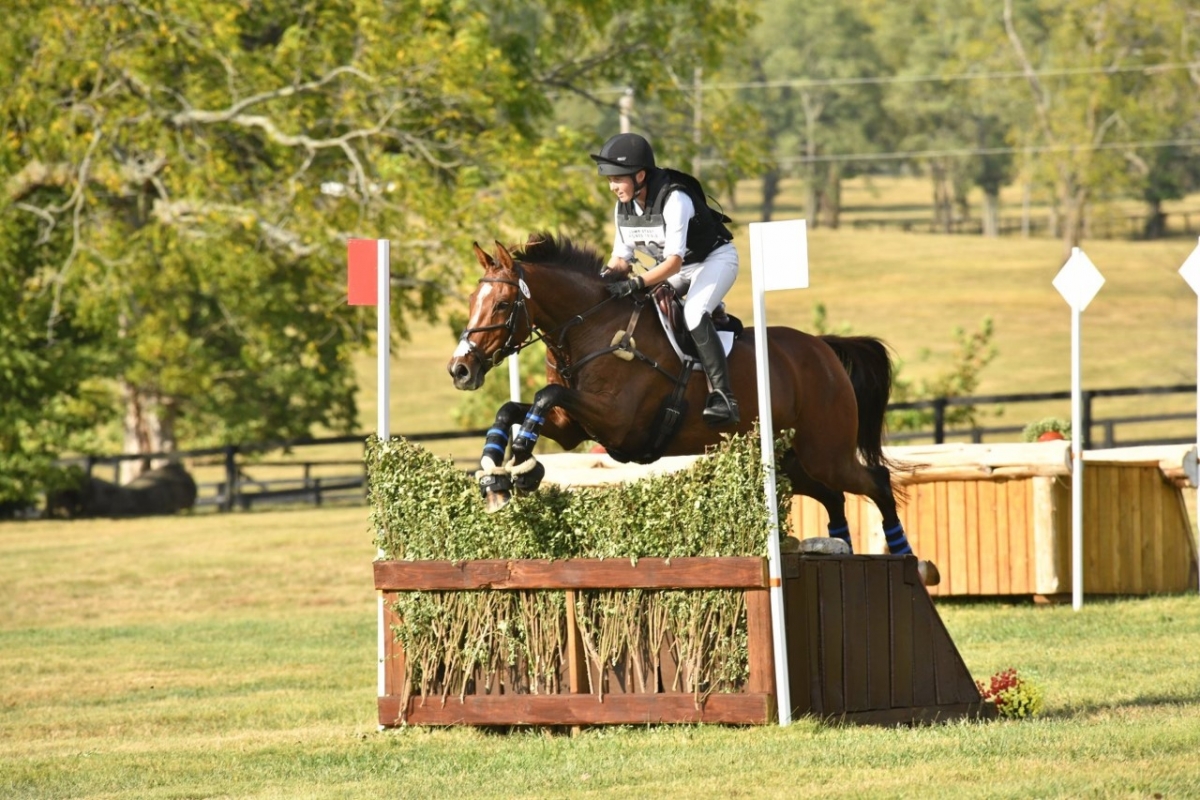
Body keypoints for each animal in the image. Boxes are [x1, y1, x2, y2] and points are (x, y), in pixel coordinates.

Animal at [446, 231, 940, 587]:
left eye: (503, 304)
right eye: (471, 303)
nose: (460, 369)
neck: (593, 328)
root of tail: (824, 350)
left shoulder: (618, 423)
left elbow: (544, 398)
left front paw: (522, 469)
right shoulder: (574, 427)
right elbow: (513, 408)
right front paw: (495, 476)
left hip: (826, 452)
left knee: (876, 482)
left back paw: (910, 561)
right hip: (792, 459)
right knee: (834, 496)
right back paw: (840, 547)